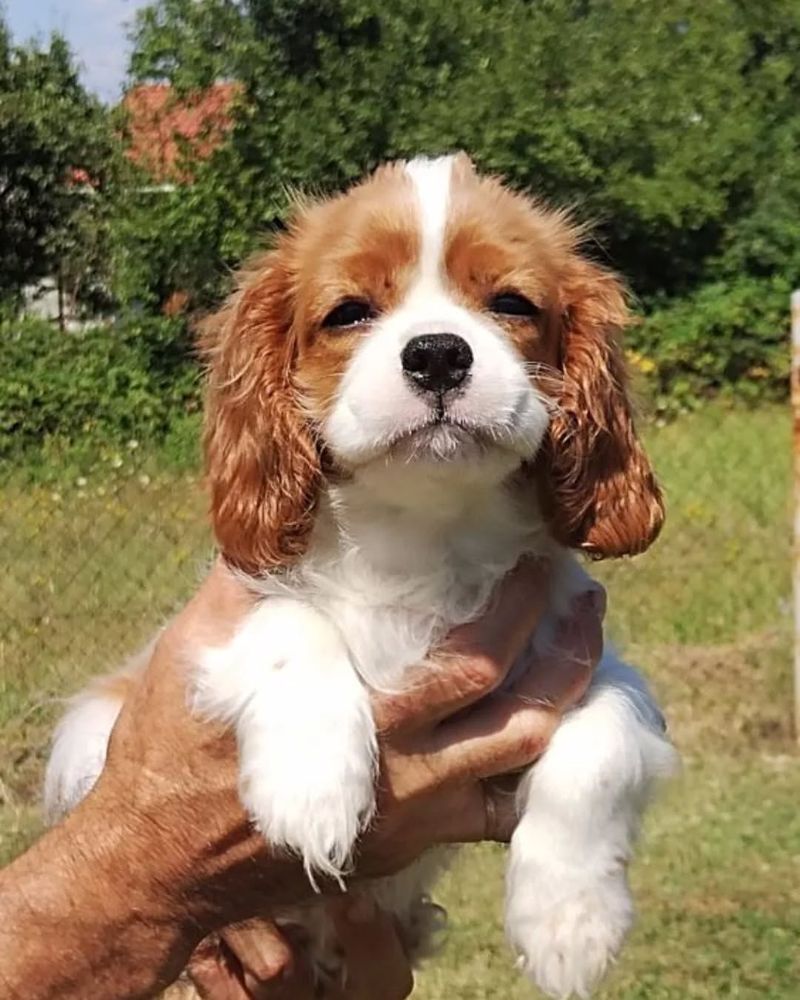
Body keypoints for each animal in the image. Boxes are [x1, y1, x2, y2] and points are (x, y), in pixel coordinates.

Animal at [45, 152, 676, 996]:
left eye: (512, 304)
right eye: (347, 314)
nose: (438, 352)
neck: (423, 529)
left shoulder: (584, 653)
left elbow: (602, 736)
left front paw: (570, 922)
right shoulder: (203, 630)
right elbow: (291, 620)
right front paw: (312, 785)